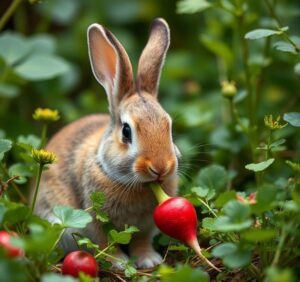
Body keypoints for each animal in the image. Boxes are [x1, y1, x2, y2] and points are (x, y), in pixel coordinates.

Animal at [34, 17, 182, 268]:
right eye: (126, 131)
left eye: (169, 126)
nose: (160, 168)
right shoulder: (94, 218)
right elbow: (104, 242)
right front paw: (119, 263)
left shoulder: (146, 225)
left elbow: (141, 240)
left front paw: (148, 260)